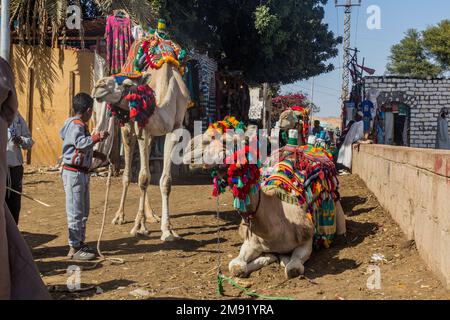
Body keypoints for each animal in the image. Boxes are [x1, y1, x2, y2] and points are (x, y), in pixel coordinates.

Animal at [91, 61, 190, 241]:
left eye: (127, 84)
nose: (99, 86)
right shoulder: (143, 128)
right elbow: (143, 178)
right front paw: (138, 227)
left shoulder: (174, 129)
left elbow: (165, 181)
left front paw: (168, 230)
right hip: (127, 128)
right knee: (129, 173)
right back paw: (120, 216)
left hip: (151, 135)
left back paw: (150, 216)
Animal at [185, 125, 346, 278]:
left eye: (227, 141)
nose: (189, 152)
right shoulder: (251, 242)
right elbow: (236, 267)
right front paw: (267, 257)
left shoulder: (306, 240)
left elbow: (292, 269)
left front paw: (280, 258)